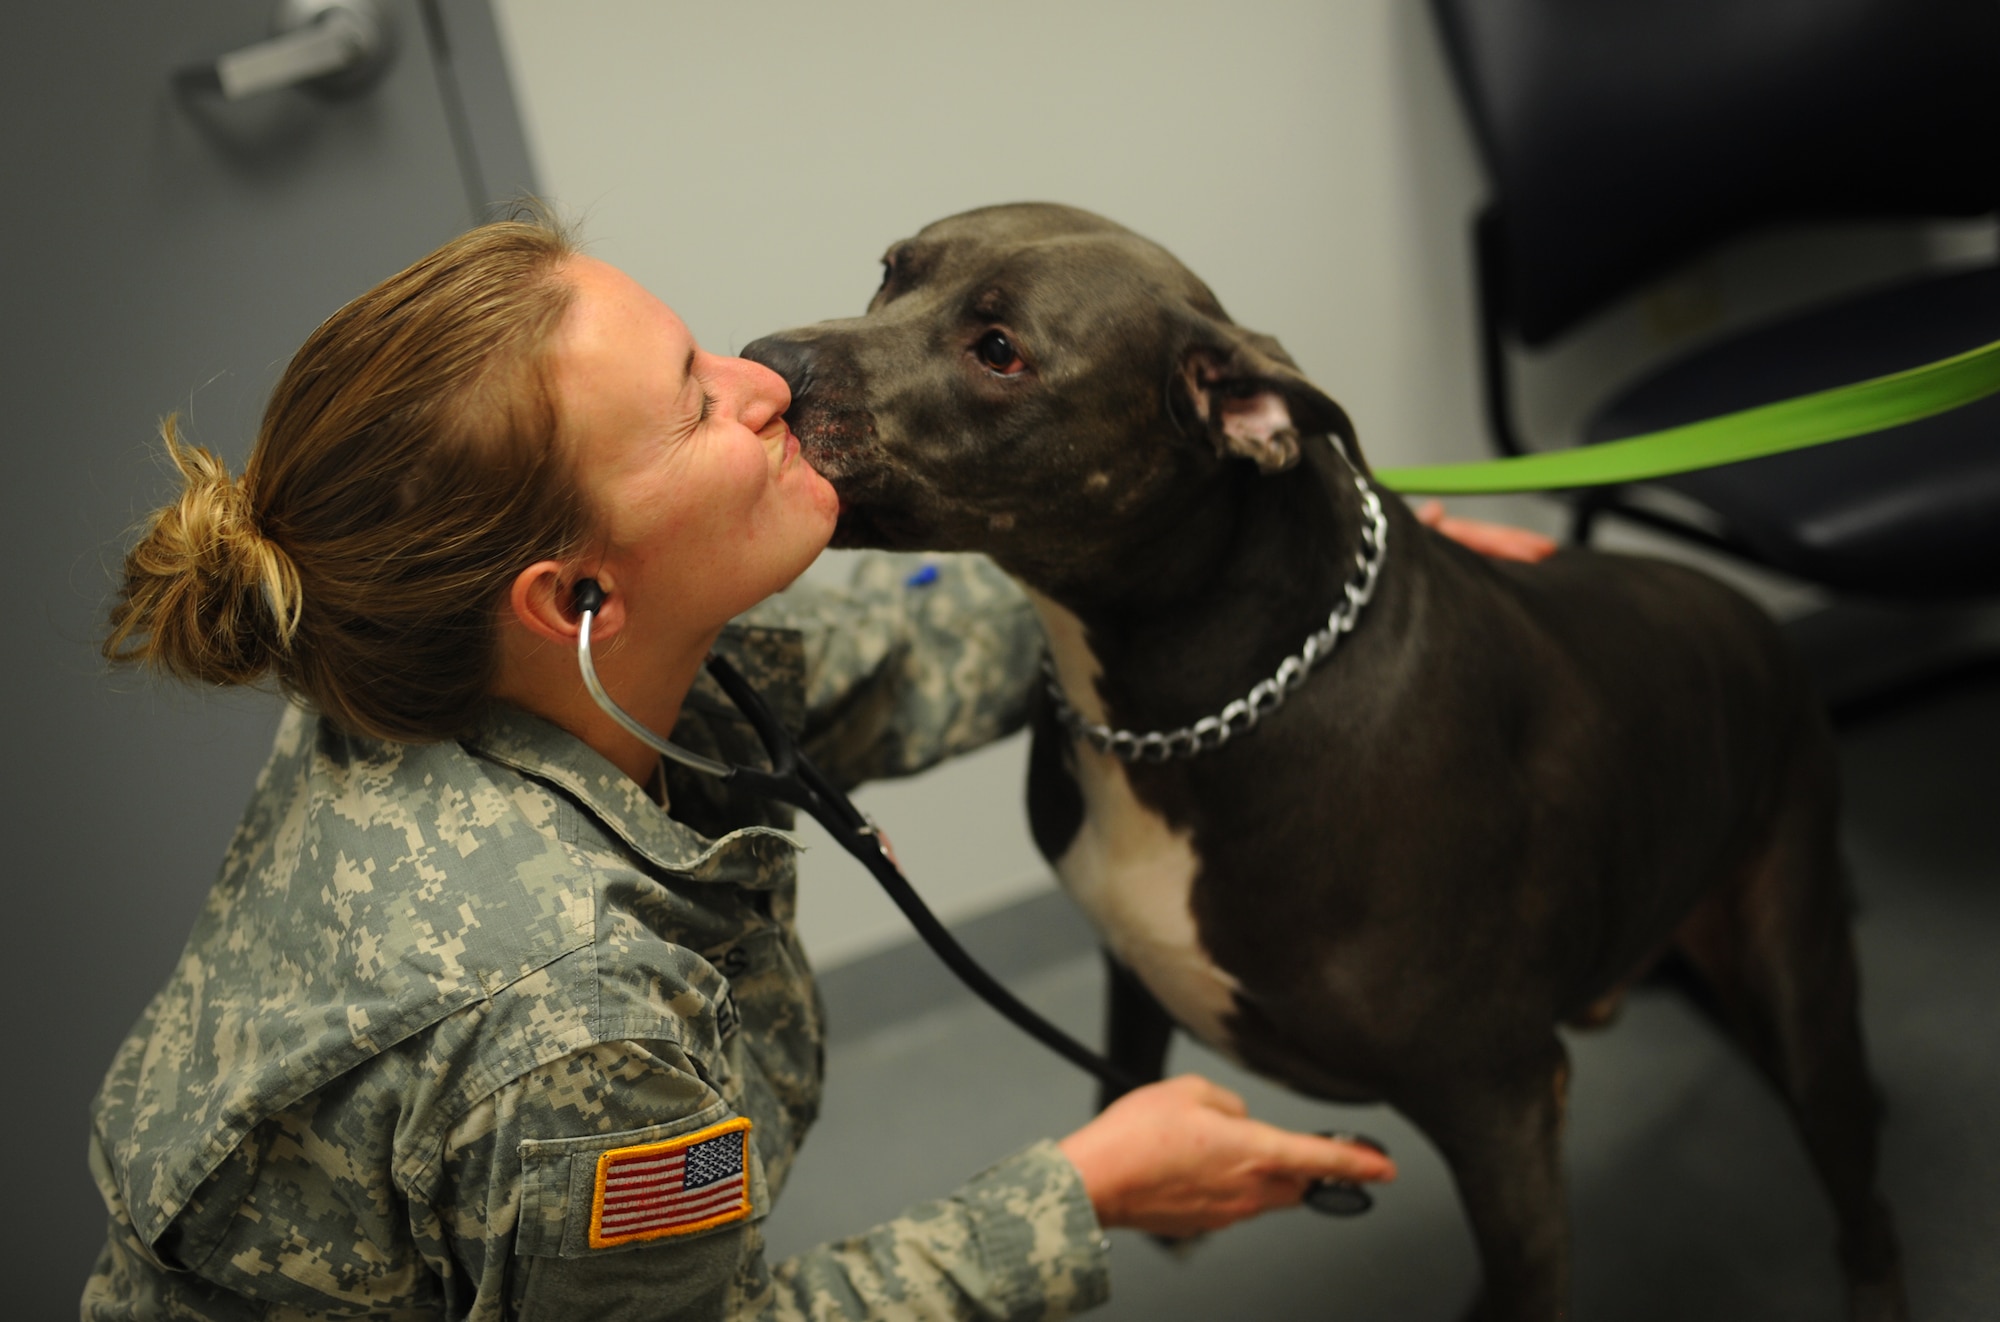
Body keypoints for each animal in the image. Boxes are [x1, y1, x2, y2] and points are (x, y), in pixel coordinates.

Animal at [744, 206, 1896, 1320]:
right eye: (891, 271)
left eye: (998, 350)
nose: (766, 362)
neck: (1205, 700)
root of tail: (1748, 614)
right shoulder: (1136, 971)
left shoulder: (1502, 1102)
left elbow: (1529, 1271)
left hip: (1794, 961)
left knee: (1851, 1168)